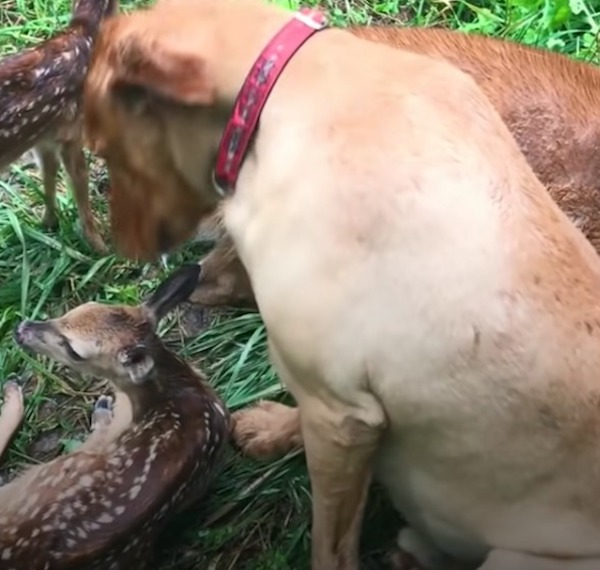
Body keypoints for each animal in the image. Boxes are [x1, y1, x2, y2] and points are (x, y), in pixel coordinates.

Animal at [84, 2, 600, 564]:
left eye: (101, 148)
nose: (115, 245)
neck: (289, 88)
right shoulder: (335, 401)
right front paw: (271, 430)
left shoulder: (341, 409)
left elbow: (330, 543)